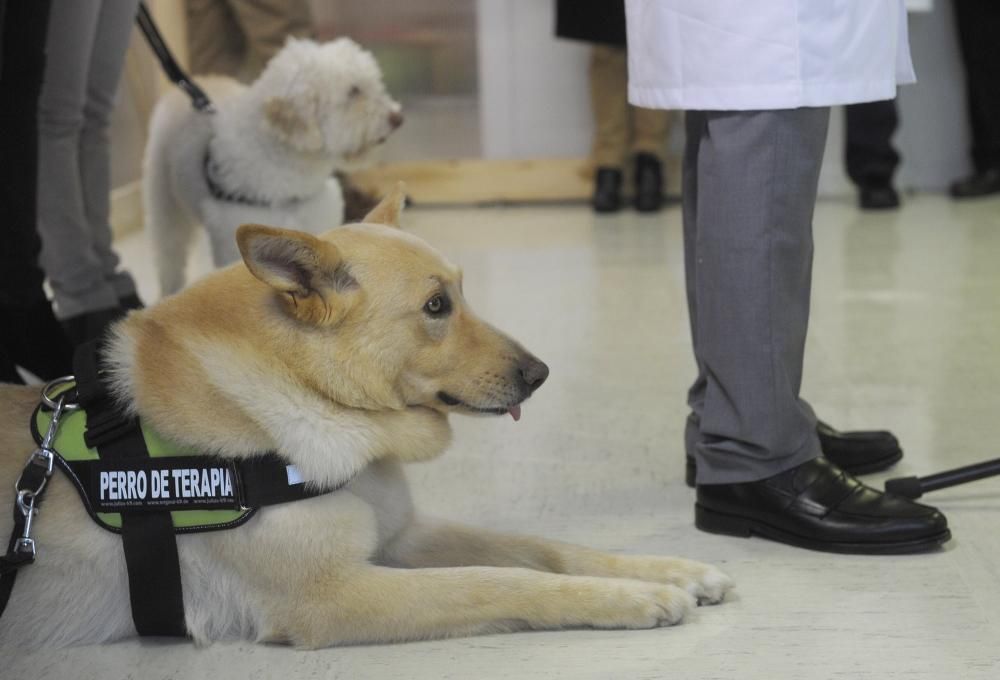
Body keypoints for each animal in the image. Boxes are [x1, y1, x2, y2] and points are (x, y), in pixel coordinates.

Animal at [1, 187, 736, 648]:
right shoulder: (334, 595)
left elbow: (541, 547)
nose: (540, 373)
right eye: (437, 306)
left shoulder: (402, 535)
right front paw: (623, 598)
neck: (320, 401)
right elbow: (500, 579)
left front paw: (666, 571)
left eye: (462, 293)